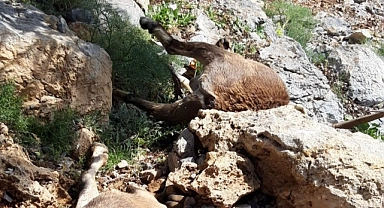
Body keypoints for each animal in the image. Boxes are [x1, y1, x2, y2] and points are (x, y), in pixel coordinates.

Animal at [112, 17, 290, 123]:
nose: (224, 41)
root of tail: (222, 99)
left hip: (214, 59)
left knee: (174, 46)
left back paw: (148, 23)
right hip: (189, 106)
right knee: (159, 110)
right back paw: (119, 92)